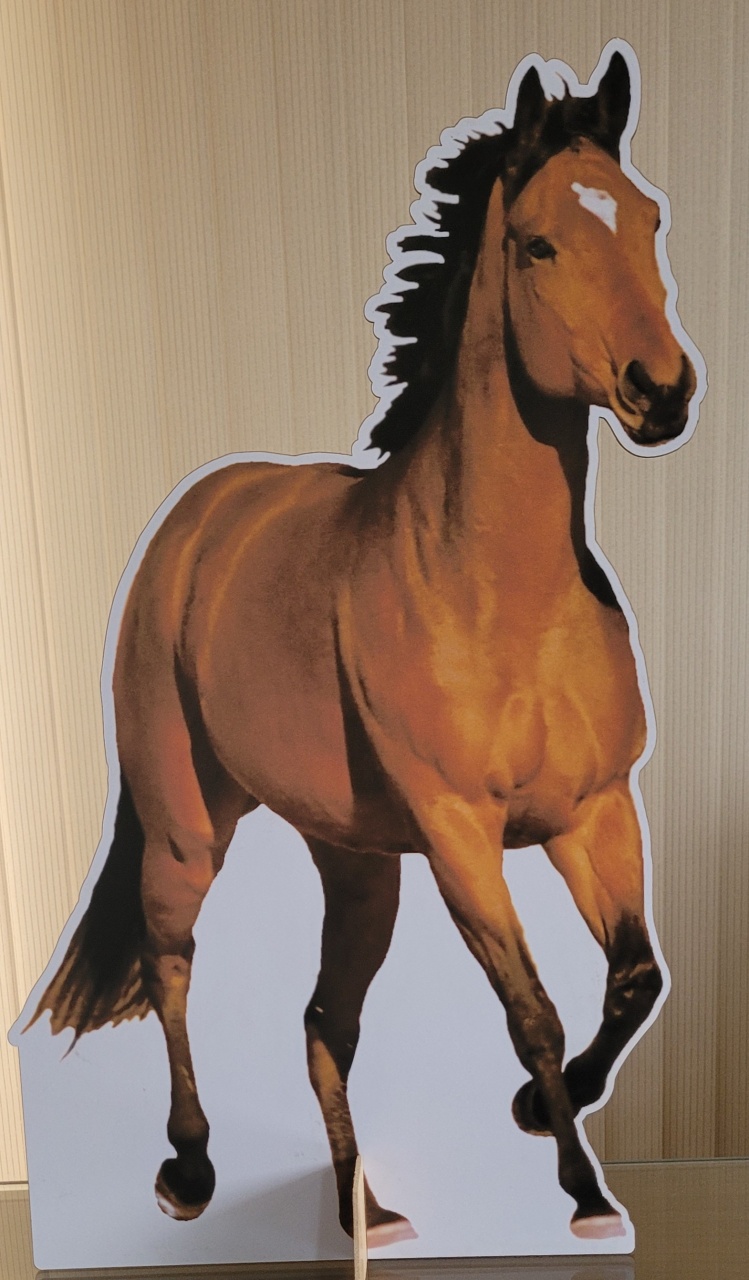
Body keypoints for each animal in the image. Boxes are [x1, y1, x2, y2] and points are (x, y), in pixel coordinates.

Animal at [32, 46, 702, 1247]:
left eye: (647, 218)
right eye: (538, 243)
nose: (661, 391)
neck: (496, 597)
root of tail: (196, 519)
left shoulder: (592, 812)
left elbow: (636, 977)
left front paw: (544, 1108)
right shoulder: (460, 834)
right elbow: (530, 1007)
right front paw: (581, 1190)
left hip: (353, 862)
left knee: (320, 1020)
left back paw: (367, 1210)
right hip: (186, 824)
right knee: (170, 964)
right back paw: (189, 1171)